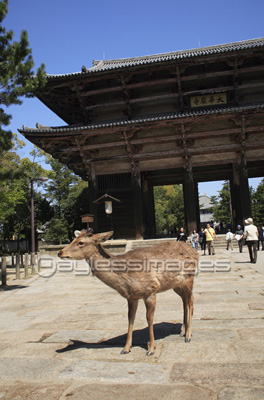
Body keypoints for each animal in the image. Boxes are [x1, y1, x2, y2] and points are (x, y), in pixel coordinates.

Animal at [58, 230, 198, 354]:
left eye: (81, 242)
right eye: (73, 239)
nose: (60, 252)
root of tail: (195, 252)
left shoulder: (151, 290)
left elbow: (149, 318)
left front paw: (151, 349)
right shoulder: (131, 297)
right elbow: (130, 318)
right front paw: (126, 348)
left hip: (189, 278)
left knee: (191, 301)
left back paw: (189, 335)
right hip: (176, 284)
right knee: (184, 301)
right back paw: (182, 330)